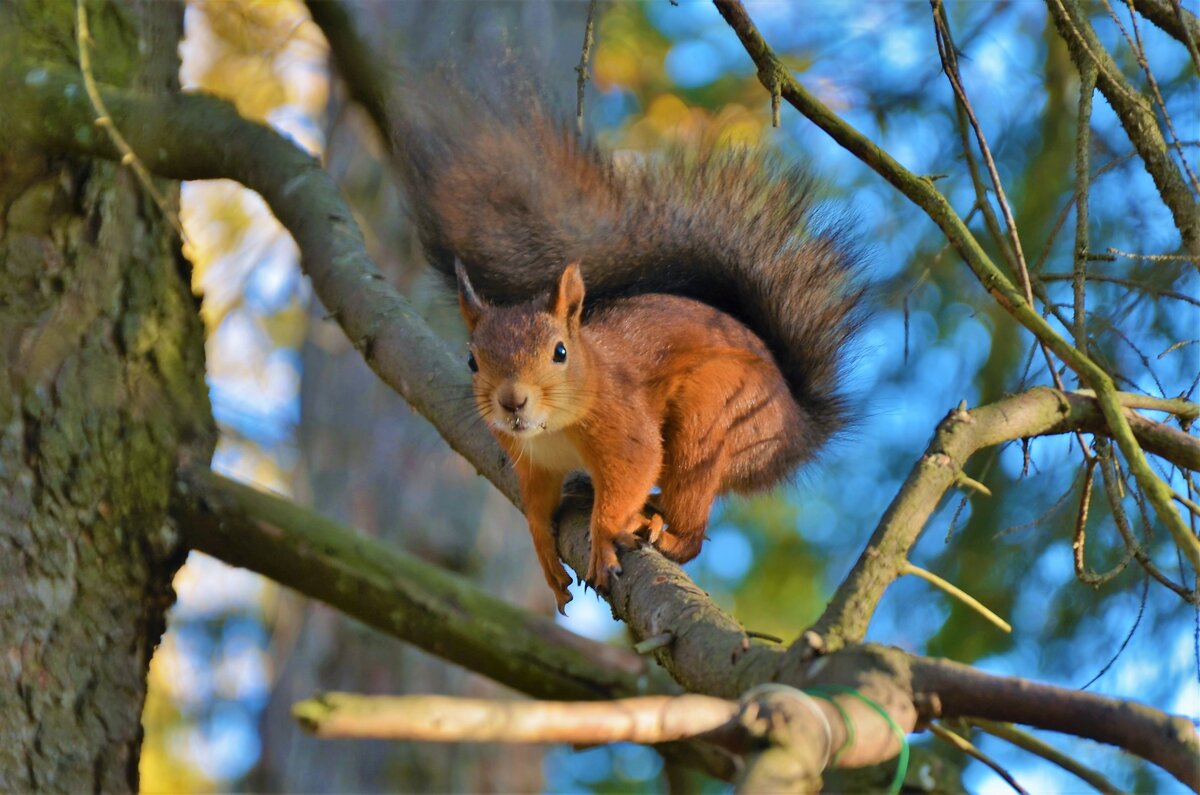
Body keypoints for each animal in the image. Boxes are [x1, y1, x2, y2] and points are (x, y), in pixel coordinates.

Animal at [393, 90, 864, 612]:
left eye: (560, 352)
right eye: (472, 360)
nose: (512, 401)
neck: (556, 426)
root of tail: (797, 428)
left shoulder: (625, 430)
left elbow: (631, 475)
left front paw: (603, 538)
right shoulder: (531, 463)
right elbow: (536, 508)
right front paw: (545, 554)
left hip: (711, 418)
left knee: (691, 514)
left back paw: (666, 532)